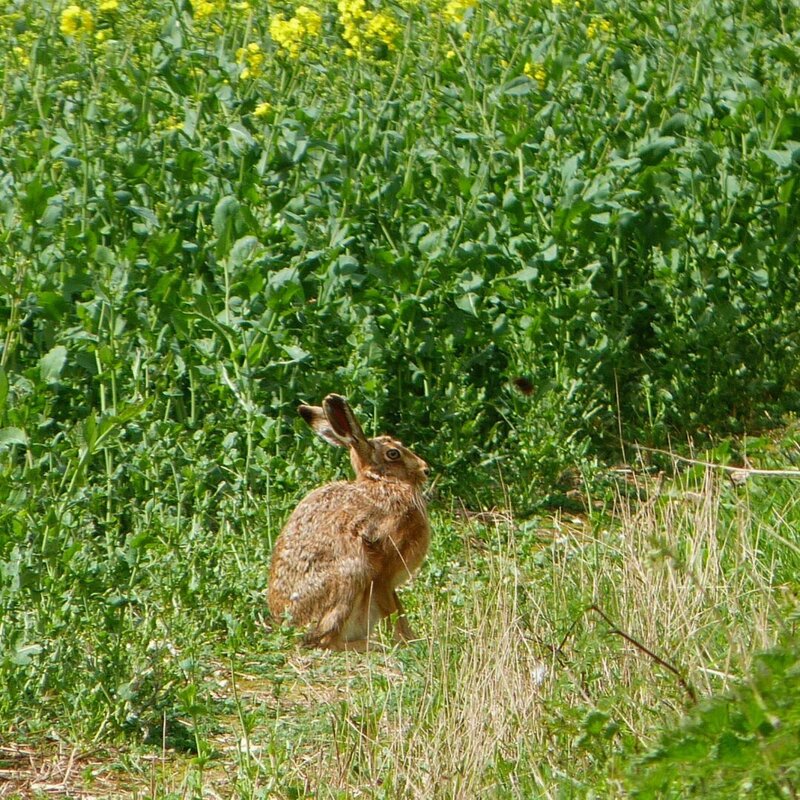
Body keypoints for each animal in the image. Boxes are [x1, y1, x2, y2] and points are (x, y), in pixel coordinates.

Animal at [268, 394, 430, 651]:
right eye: (393, 454)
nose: (426, 470)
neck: (382, 482)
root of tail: (287, 628)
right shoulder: (383, 572)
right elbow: (394, 611)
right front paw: (406, 642)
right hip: (351, 577)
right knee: (326, 641)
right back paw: (372, 646)